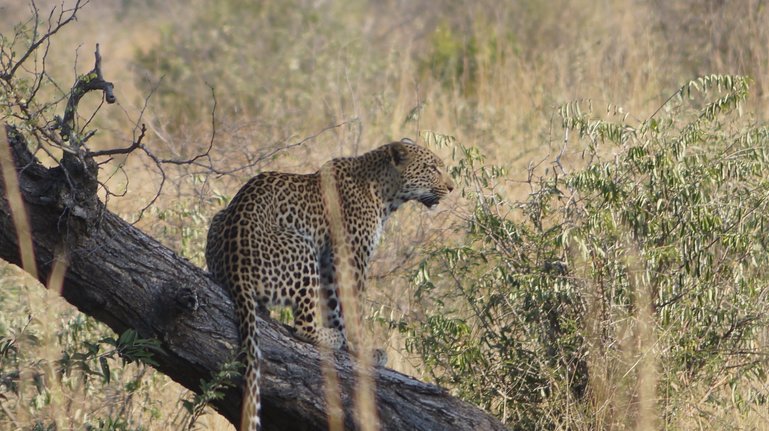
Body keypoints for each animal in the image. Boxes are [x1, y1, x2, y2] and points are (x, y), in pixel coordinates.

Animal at [207, 139, 452, 431]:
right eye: (432, 168)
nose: (452, 187)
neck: (385, 191)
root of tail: (235, 265)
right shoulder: (351, 258)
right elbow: (354, 309)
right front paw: (362, 350)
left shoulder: (328, 262)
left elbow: (335, 305)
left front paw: (347, 340)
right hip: (302, 245)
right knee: (302, 326)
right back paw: (330, 338)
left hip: (218, 219)